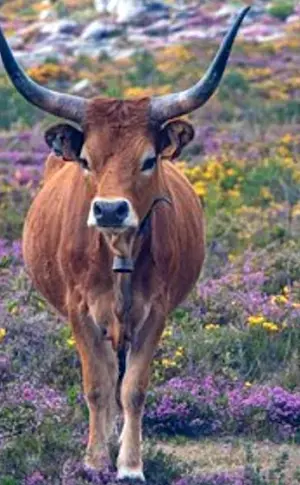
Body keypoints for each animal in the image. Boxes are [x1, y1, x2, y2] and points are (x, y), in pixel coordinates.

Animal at [0, 7, 248, 480]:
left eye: (148, 160)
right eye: (86, 160)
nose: (110, 210)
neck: (118, 253)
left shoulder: (156, 311)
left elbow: (133, 388)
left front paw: (130, 464)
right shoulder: (79, 309)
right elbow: (97, 386)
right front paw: (95, 460)